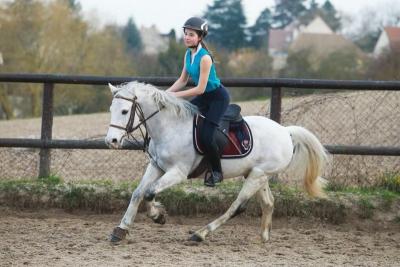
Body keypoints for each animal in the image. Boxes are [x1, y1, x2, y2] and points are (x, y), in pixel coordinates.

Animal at [106, 82, 328, 244]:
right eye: (111, 109)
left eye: (124, 111)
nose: (112, 141)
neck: (170, 128)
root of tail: (285, 131)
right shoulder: (156, 166)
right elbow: (138, 193)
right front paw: (121, 230)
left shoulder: (178, 172)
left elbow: (150, 192)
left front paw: (158, 216)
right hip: (258, 174)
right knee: (268, 203)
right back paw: (264, 237)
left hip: (257, 176)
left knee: (236, 207)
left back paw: (200, 234)